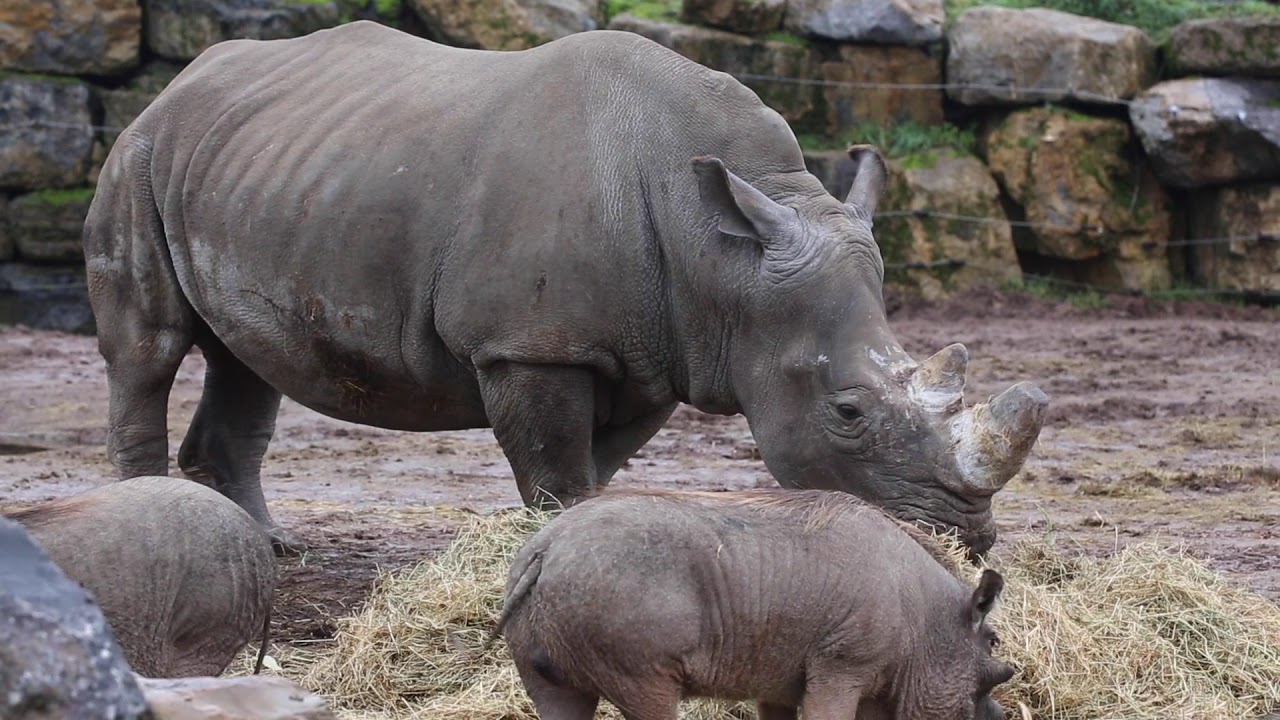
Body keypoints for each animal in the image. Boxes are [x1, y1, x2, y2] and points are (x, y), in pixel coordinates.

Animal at [83, 21, 1047, 556]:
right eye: (847, 411)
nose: (965, 539)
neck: (724, 258)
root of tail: (180, 81)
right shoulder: (532, 345)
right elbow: (554, 469)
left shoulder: (657, 351)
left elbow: (590, 468)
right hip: (137, 155)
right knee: (150, 349)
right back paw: (152, 527)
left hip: (259, 167)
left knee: (247, 361)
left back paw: (269, 547)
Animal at [494, 488, 1016, 720]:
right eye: (992, 641)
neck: (922, 620)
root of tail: (547, 548)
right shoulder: (840, 670)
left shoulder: (780, 688)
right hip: (644, 681)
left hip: (548, 683)